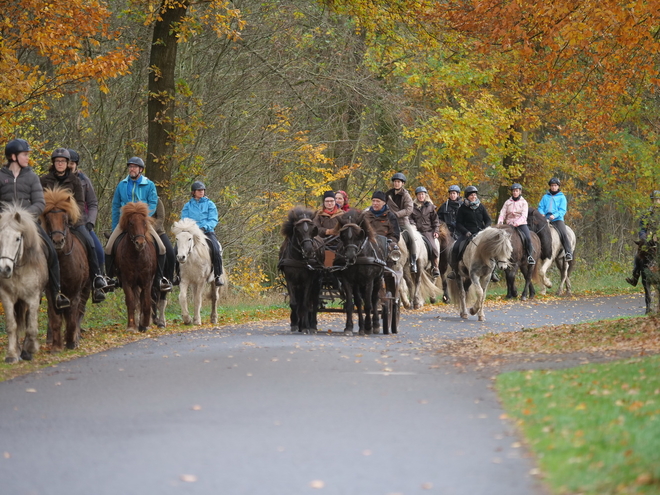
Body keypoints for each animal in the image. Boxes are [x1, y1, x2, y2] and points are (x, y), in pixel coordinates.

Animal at [0, 203, 49, 362]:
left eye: (17, 238)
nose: (4, 269)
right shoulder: (7, 297)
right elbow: (12, 325)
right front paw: (12, 354)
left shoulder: (33, 298)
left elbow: (31, 325)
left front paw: (30, 349)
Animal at [42, 187, 91, 352]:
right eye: (48, 220)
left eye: (65, 219)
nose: (58, 241)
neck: (62, 262)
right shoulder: (52, 293)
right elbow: (55, 318)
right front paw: (57, 346)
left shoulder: (75, 292)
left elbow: (72, 317)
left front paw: (71, 342)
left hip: (86, 288)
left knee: (80, 311)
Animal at [114, 202, 158, 334]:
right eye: (131, 223)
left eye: (144, 223)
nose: (140, 243)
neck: (137, 256)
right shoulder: (127, 282)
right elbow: (131, 302)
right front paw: (131, 326)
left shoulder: (147, 281)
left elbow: (147, 302)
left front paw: (145, 324)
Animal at [278, 207, 324, 336]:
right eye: (297, 230)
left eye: (313, 229)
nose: (308, 251)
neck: (298, 258)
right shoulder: (290, 280)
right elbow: (294, 303)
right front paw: (294, 324)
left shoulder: (308, 281)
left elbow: (305, 304)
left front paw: (305, 327)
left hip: (317, 282)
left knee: (313, 302)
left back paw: (312, 325)